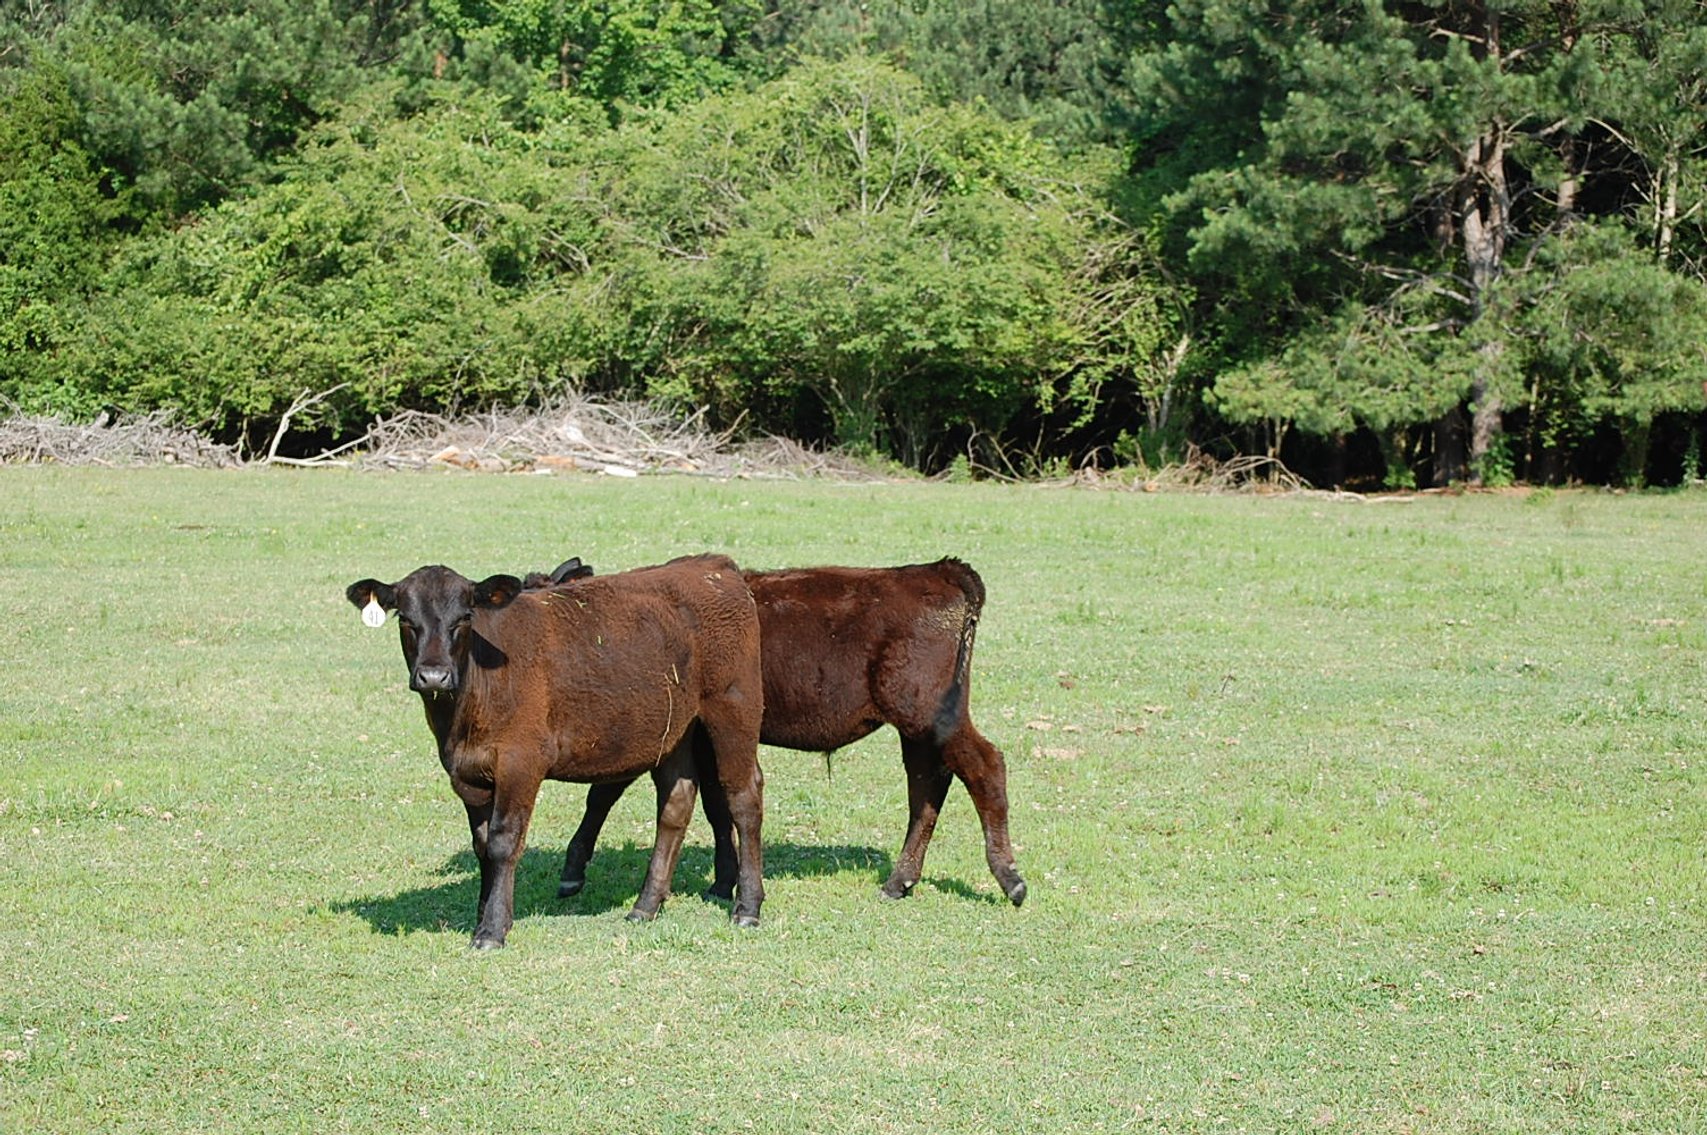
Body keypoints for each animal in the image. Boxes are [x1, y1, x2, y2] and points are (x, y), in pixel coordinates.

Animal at [345, 554, 767, 948]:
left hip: (733, 709)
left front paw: (492, 929)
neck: (462, 717)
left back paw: (747, 906)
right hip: (675, 730)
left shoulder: (520, 762)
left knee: (743, 798)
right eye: (405, 619)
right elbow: (481, 845)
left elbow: (503, 842)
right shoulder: (466, 773)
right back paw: (646, 905)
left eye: (464, 617)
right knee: (676, 803)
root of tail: (714, 566)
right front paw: (483, 913)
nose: (434, 675)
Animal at [552, 558, 1027, 908]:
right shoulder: (703, 739)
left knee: (985, 767)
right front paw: (724, 882)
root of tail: (938, 570)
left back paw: (1009, 878)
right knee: (927, 787)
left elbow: (604, 793)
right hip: (921, 728)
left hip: (929, 715)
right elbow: (717, 806)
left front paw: (572, 873)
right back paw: (900, 880)